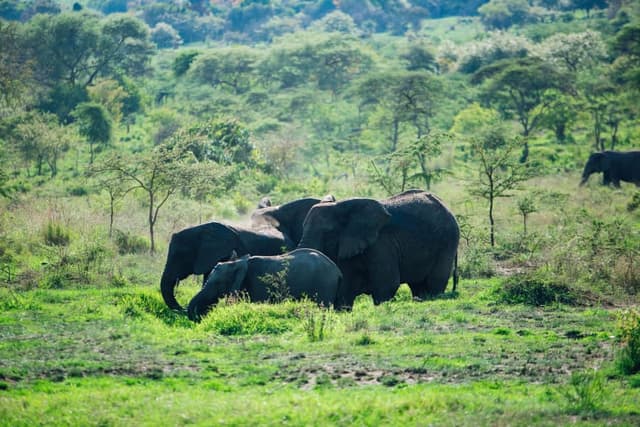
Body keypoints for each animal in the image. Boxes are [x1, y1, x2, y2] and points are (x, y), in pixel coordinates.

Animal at [187, 248, 343, 321]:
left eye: (217, 283)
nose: (200, 316)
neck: (238, 262)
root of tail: (337, 271)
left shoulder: (257, 284)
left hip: (325, 284)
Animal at [298, 189, 459, 309]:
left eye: (328, 233)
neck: (341, 207)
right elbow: (345, 285)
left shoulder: (381, 242)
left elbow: (388, 283)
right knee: (417, 286)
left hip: (447, 241)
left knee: (434, 282)